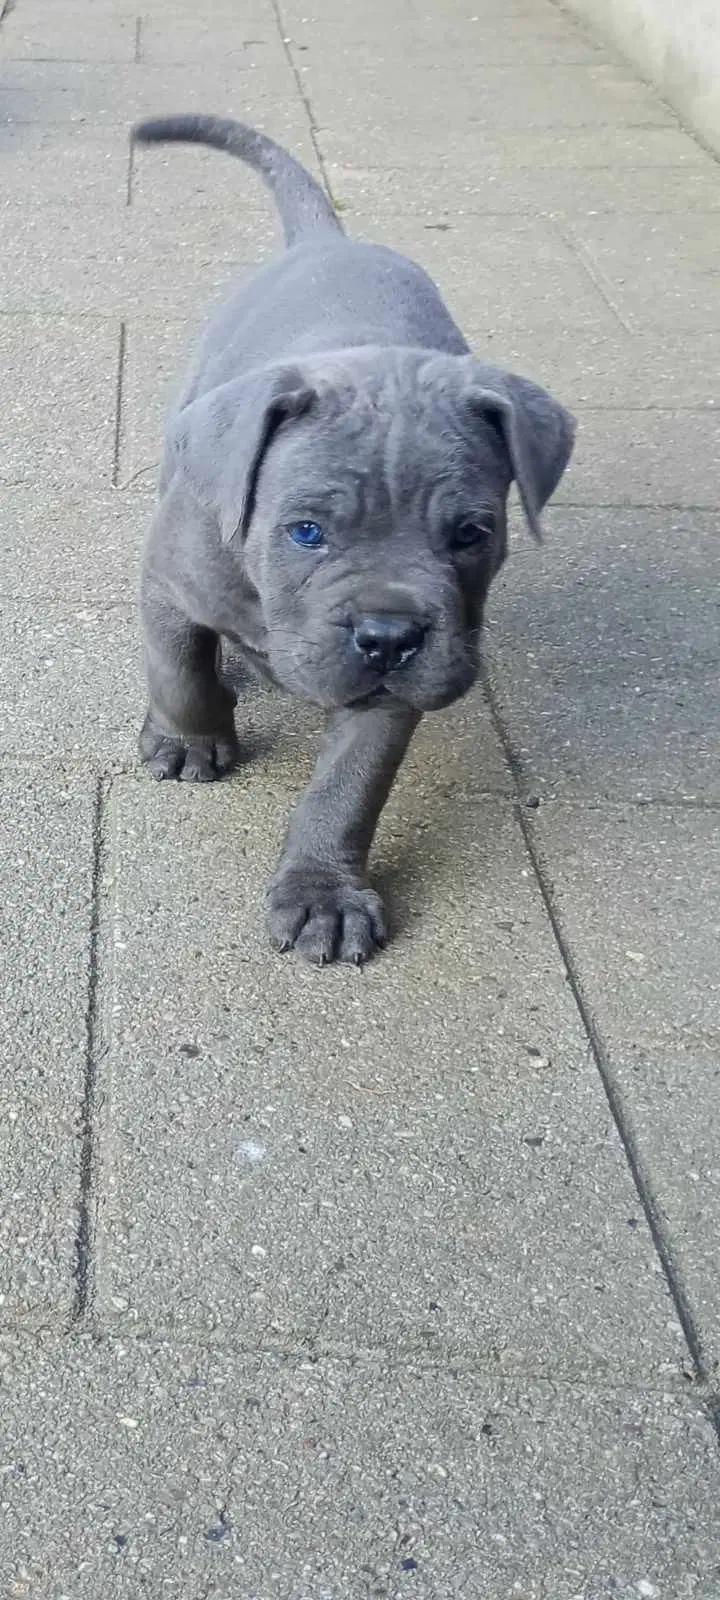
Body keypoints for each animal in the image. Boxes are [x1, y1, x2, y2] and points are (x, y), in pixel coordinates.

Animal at [133, 116, 572, 960]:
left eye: (471, 534)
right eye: (306, 532)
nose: (389, 635)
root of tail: (327, 240)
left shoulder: (392, 693)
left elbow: (349, 786)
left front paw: (324, 895)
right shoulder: (172, 580)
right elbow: (179, 671)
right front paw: (188, 738)